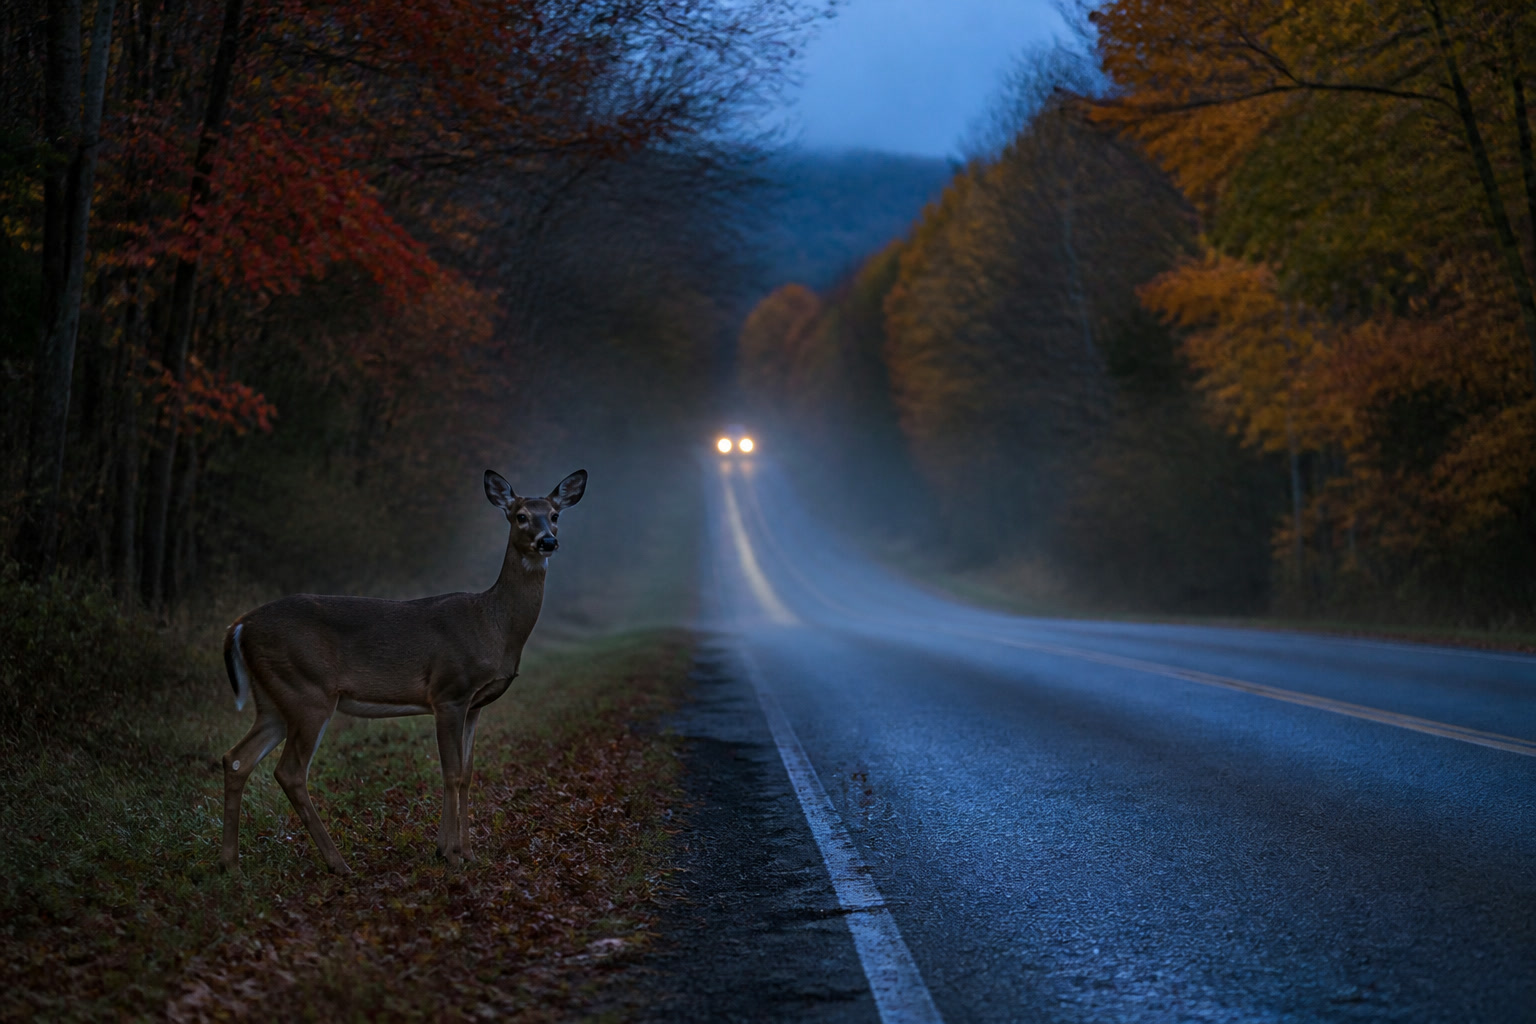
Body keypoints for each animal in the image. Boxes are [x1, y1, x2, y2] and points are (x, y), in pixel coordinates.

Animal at [218, 468, 587, 874]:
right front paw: (450, 854)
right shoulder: (449, 692)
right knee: (290, 772)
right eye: (520, 515)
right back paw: (338, 863)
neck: (494, 626)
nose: (548, 540)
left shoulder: (475, 705)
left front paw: (466, 853)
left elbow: (468, 774)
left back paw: (230, 864)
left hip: (273, 698)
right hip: (307, 691)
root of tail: (239, 626)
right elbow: (451, 772)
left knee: (236, 759)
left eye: (554, 514)